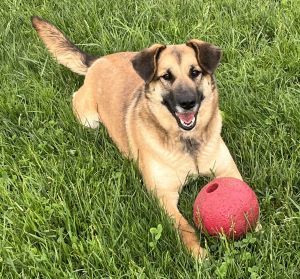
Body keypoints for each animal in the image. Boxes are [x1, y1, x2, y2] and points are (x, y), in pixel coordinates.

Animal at [31, 16, 241, 260]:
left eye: (195, 72)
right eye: (166, 76)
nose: (188, 103)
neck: (188, 143)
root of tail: (97, 61)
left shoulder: (229, 172)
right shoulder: (164, 197)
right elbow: (184, 227)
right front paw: (197, 253)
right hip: (88, 120)